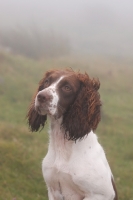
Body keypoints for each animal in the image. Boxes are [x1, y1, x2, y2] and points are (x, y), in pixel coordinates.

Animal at [26, 69, 117, 200]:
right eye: (47, 81)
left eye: (67, 87)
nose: (41, 96)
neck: (63, 146)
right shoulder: (52, 189)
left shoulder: (101, 194)